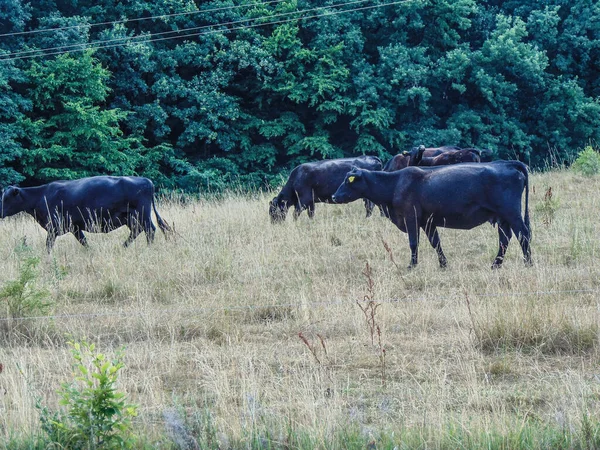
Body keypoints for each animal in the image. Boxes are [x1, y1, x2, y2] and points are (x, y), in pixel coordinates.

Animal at [0, 176, 173, 251]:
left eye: (7, 198)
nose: (0, 212)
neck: (41, 195)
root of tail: (146, 180)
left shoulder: (54, 227)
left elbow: (48, 245)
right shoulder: (74, 227)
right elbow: (83, 241)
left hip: (142, 214)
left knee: (150, 230)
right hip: (131, 218)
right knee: (137, 231)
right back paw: (123, 246)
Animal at [330, 160, 532, 268]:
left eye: (348, 181)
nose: (334, 196)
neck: (395, 184)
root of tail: (506, 163)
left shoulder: (411, 217)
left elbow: (413, 243)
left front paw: (412, 265)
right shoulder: (428, 221)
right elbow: (436, 243)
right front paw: (443, 264)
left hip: (511, 213)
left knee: (523, 235)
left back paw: (528, 263)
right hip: (502, 217)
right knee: (505, 239)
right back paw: (496, 264)